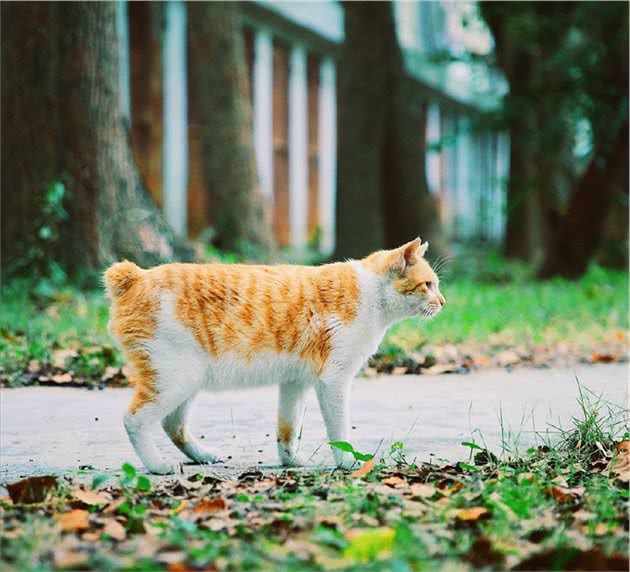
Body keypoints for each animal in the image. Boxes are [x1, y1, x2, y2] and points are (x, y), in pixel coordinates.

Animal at [106, 237, 446, 474]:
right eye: (428, 285)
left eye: (436, 285)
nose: (443, 302)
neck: (370, 294)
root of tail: (136, 277)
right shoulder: (333, 381)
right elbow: (338, 429)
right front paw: (347, 462)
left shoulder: (295, 383)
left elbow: (287, 428)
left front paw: (290, 462)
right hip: (176, 379)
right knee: (134, 420)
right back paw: (156, 465)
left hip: (187, 381)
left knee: (172, 424)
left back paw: (203, 457)